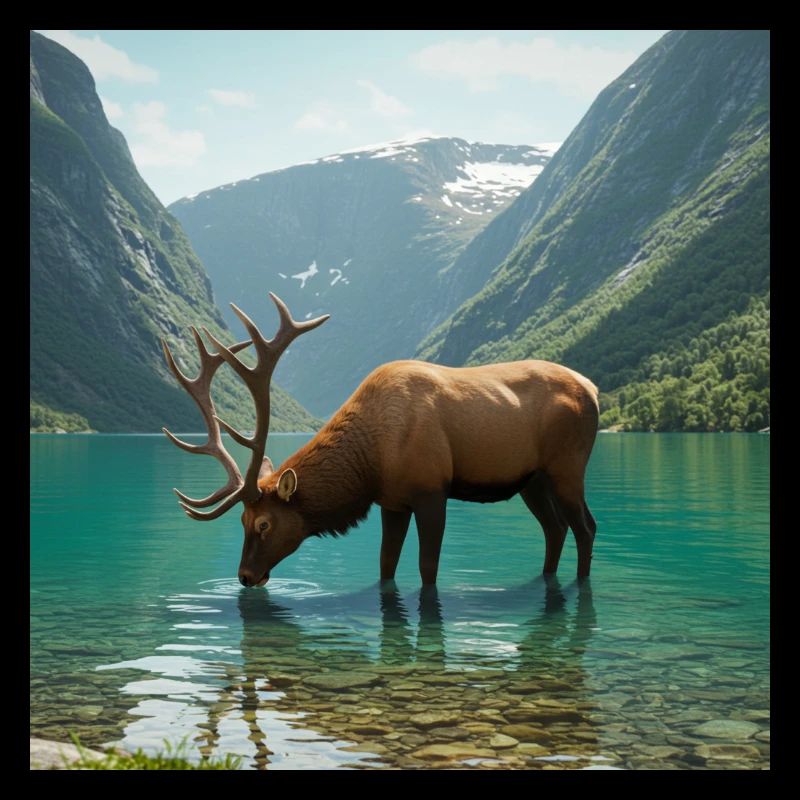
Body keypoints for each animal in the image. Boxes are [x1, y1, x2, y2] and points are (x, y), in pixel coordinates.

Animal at [161, 293, 599, 588]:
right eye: (241, 520)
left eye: (264, 523)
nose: (245, 576)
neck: (371, 463)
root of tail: (593, 390)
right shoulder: (392, 501)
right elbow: (386, 566)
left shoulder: (431, 490)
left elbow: (427, 569)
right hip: (532, 480)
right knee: (555, 528)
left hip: (567, 466)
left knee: (585, 527)